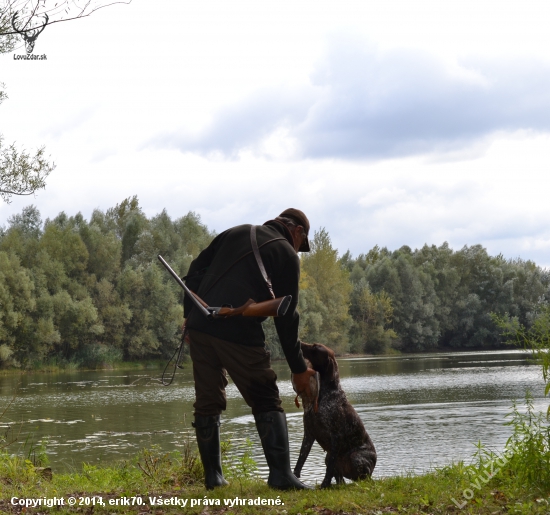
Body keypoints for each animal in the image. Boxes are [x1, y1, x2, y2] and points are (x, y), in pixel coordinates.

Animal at [292, 342, 378, 488]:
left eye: (315, 347)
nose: (299, 343)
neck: (324, 394)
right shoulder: (309, 433)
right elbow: (301, 459)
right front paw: (295, 478)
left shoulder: (335, 436)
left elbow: (330, 468)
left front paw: (324, 485)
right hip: (329, 458)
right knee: (340, 479)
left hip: (356, 458)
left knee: (363, 479)